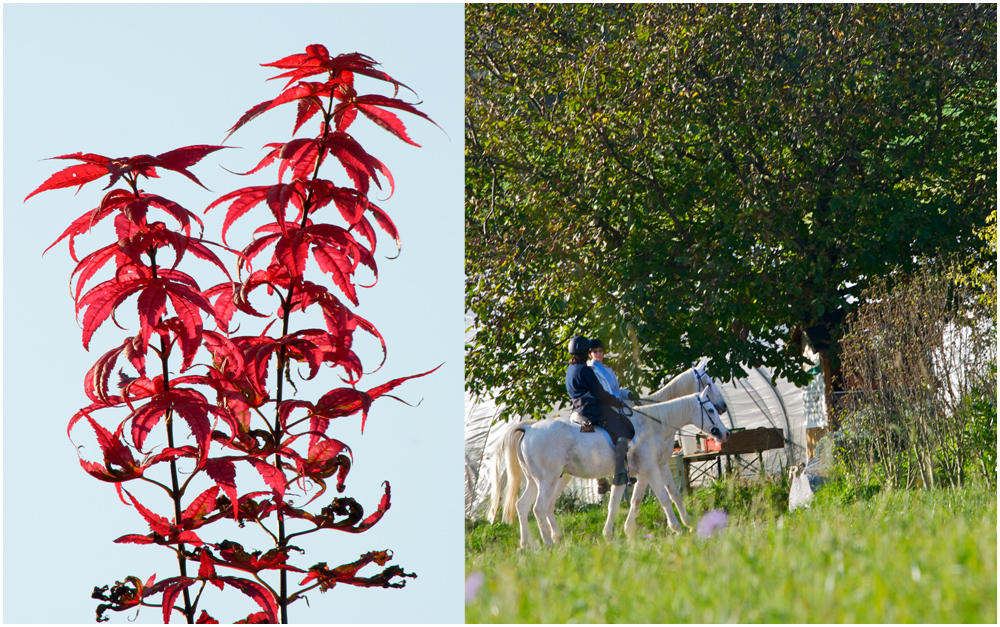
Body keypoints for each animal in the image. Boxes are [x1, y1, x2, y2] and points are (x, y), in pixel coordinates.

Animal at [486, 366, 728, 536]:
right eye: (710, 409)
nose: (724, 432)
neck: (651, 423)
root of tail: (528, 427)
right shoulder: (650, 468)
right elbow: (662, 497)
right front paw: (676, 527)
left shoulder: (654, 467)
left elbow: (657, 496)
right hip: (549, 480)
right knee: (540, 508)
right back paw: (550, 543)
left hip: (537, 481)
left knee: (524, 505)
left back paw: (530, 544)